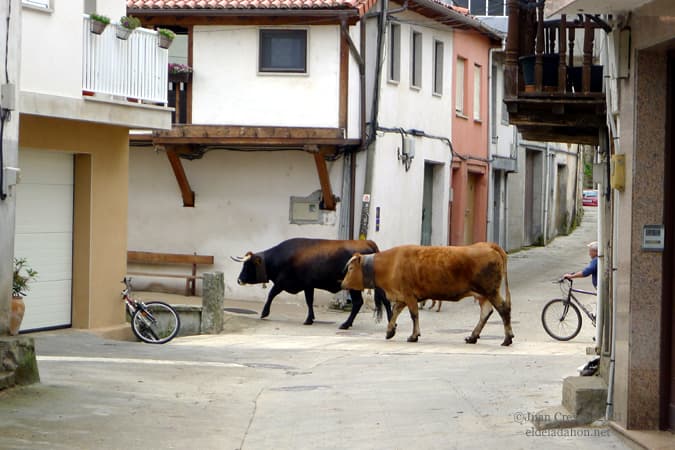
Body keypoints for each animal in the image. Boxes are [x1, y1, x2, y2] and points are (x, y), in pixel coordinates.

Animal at [234, 237, 394, 328]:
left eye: (248, 265)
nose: (239, 280)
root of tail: (366, 242)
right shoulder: (308, 285)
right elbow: (309, 301)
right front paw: (310, 318)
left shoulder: (283, 282)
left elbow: (272, 294)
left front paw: (264, 313)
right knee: (384, 300)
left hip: (355, 287)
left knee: (358, 303)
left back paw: (346, 324)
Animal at [344, 243, 512, 344]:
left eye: (351, 268)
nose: (343, 283)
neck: (391, 263)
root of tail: (487, 245)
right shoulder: (402, 296)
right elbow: (395, 313)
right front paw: (390, 331)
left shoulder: (409, 295)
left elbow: (414, 315)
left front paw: (413, 336)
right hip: (483, 294)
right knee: (486, 312)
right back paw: (472, 337)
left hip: (490, 291)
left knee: (503, 309)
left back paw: (507, 339)